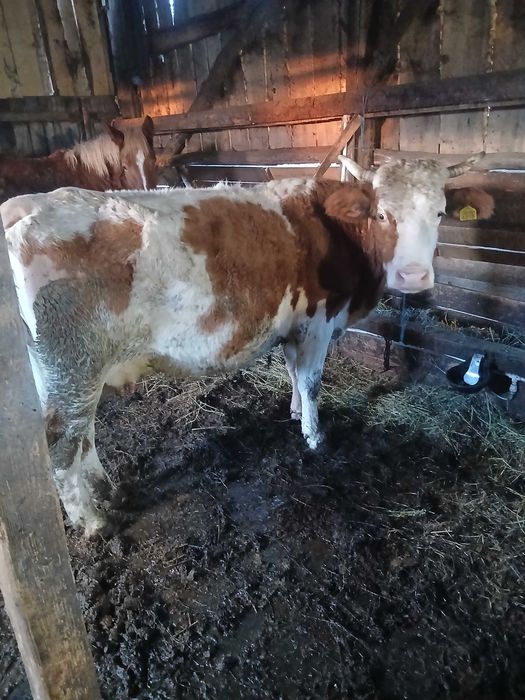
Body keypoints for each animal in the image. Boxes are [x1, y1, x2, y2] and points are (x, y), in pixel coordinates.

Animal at [1, 154, 487, 535]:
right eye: (382, 214)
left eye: (440, 213)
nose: (413, 276)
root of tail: (29, 204)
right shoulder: (318, 321)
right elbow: (312, 379)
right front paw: (314, 435)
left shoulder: (293, 325)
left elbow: (292, 371)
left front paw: (295, 413)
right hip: (71, 366)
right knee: (62, 444)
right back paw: (93, 522)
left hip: (66, 373)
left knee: (84, 435)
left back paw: (108, 492)